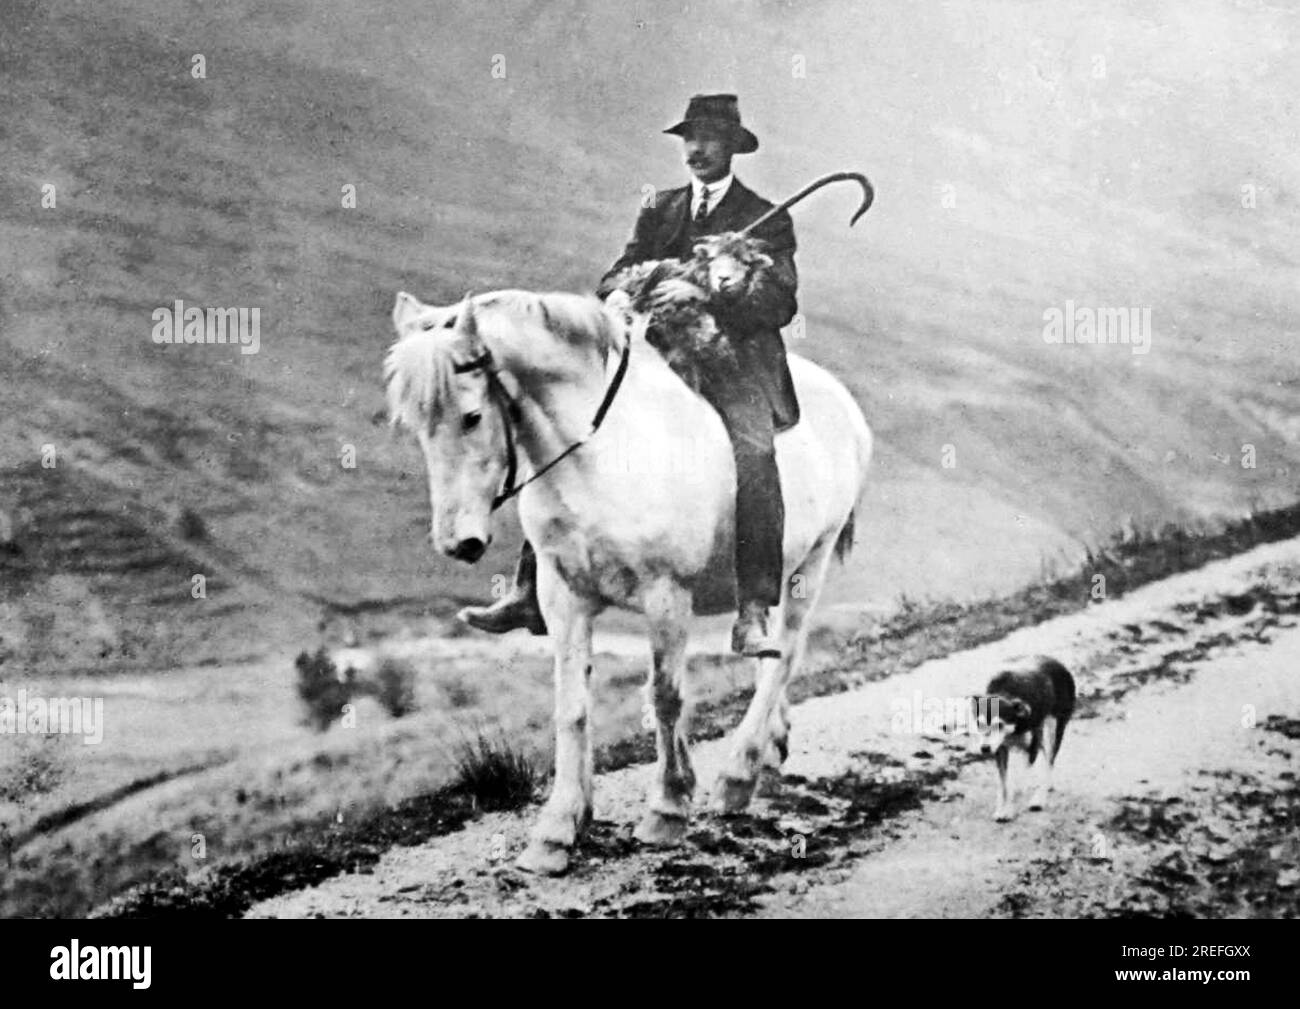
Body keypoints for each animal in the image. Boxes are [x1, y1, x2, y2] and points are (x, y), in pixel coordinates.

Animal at [384, 287, 873, 868]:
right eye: (416, 426)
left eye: (472, 416)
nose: (457, 544)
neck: (600, 456)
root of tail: (844, 404)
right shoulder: (564, 597)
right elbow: (571, 707)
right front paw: (559, 828)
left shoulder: (666, 597)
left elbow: (665, 697)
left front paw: (667, 808)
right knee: (768, 653)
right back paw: (770, 753)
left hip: (810, 566)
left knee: (786, 656)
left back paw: (738, 774)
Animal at [967, 657, 1076, 821]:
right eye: (979, 724)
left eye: (1000, 724)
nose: (985, 748)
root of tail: (1058, 663)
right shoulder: (1000, 750)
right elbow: (1004, 785)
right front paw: (1001, 809)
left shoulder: (1031, 749)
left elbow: (1017, 783)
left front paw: (1009, 810)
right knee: (1045, 757)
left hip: (1055, 729)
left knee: (1050, 760)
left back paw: (1039, 798)